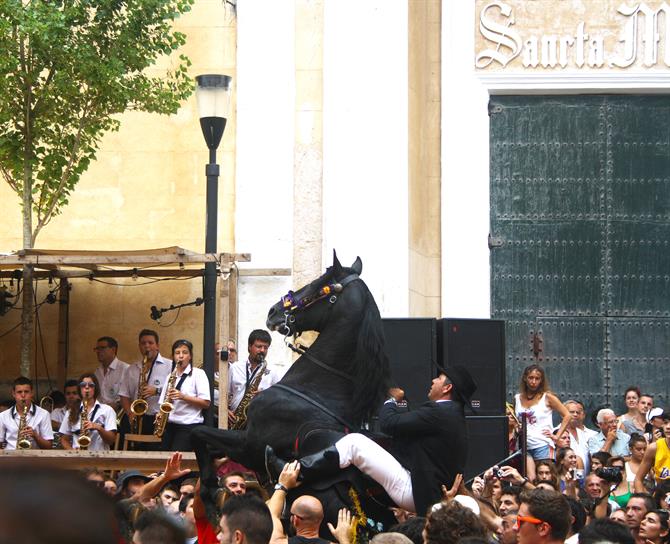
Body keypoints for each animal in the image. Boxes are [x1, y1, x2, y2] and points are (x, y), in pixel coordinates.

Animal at [193, 254, 394, 532]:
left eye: (318, 283)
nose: (273, 311)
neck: (317, 387)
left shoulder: (249, 445)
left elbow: (198, 434)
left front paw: (210, 495)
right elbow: (205, 442)